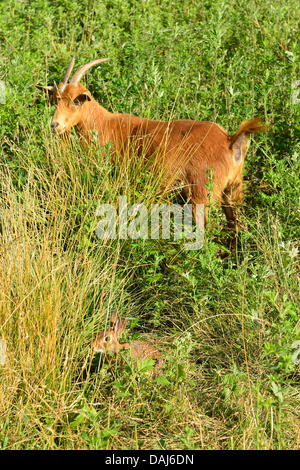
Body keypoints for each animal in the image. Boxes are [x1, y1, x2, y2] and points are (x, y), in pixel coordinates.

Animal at [38, 57, 264, 253]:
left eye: (76, 102)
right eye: (55, 100)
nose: (55, 125)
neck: (106, 125)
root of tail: (230, 141)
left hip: (201, 193)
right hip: (232, 191)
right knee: (235, 226)